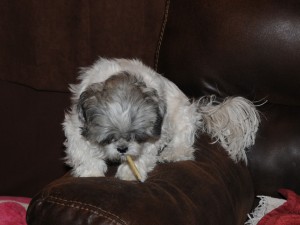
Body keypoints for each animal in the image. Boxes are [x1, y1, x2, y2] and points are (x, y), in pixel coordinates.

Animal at [63, 57, 260, 181]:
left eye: (138, 137)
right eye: (108, 137)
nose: (122, 148)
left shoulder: (156, 133)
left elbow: (144, 154)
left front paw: (130, 172)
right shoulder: (75, 126)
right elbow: (82, 151)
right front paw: (90, 173)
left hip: (183, 116)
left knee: (183, 143)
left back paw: (174, 153)